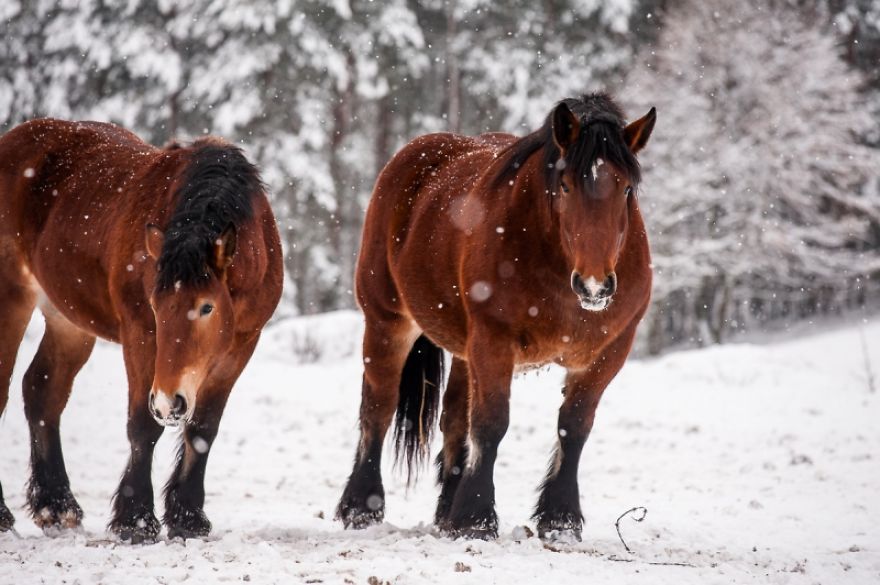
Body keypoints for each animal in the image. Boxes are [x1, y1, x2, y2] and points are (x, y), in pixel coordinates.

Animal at [0, 119, 283, 541]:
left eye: (207, 307)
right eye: (154, 305)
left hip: (68, 322)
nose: (172, 402)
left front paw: (187, 517)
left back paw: (57, 506)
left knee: (42, 390)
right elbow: (143, 426)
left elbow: (203, 430)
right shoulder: (140, 336)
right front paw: (135, 520)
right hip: (12, 299)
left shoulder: (241, 347)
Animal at [336, 93, 656, 539]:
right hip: (387, 321)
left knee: (454, 419)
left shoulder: (608, 353)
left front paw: (559, 519)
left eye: (626, 187)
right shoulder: (494, 341)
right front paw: (475, 519)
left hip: (463, 350)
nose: (595, 286)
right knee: (378, 408)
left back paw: (445, 509)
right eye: (566, 185)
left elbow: (574, 426)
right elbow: (491, 424)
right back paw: (362, 507)